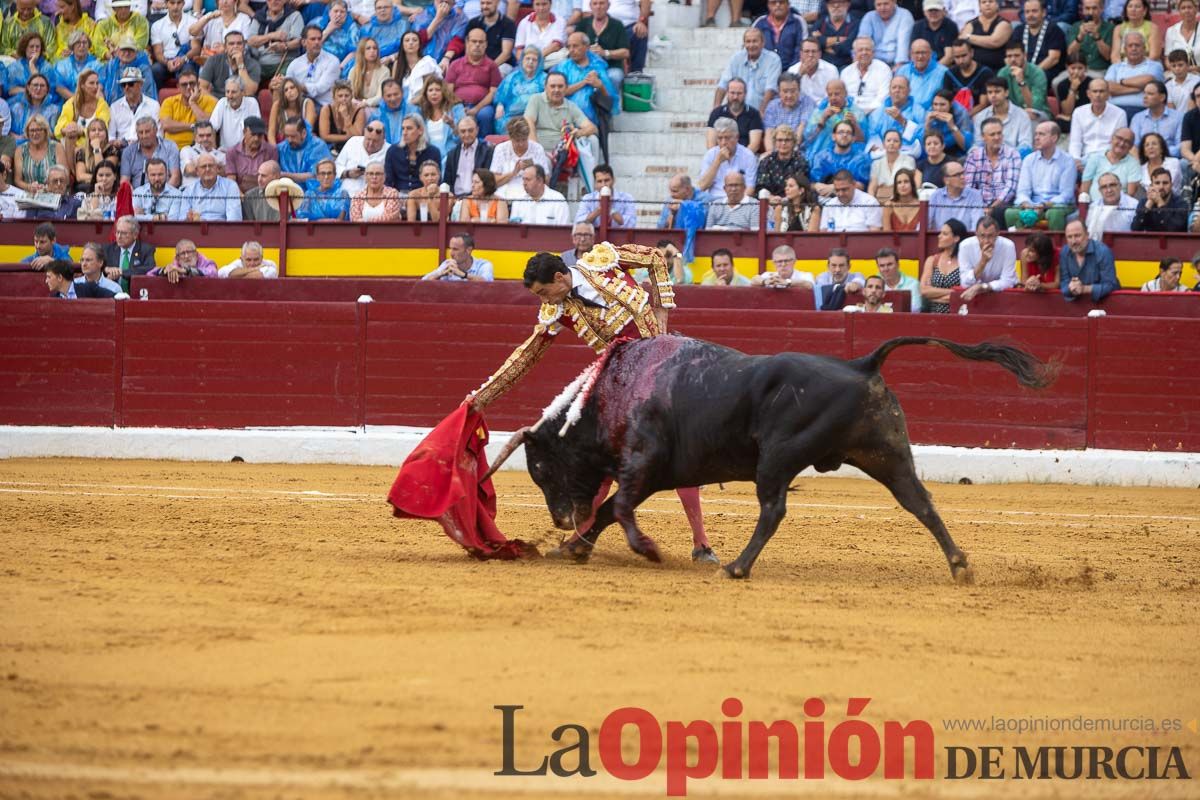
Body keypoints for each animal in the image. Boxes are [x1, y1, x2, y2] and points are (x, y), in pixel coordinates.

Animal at [482, 333, 1056, 582]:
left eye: (540, 469)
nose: (561, 520)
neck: (612, 396)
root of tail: (861, 362)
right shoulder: (649, 473)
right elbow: (607, 510)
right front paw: (574, 548)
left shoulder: (642, 465)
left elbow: (618, 508)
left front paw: (646, 549)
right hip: (885, 452)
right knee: (921, 502)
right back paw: (959, 565)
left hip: (778, 457)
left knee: (773, 509)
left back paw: (737, 567)